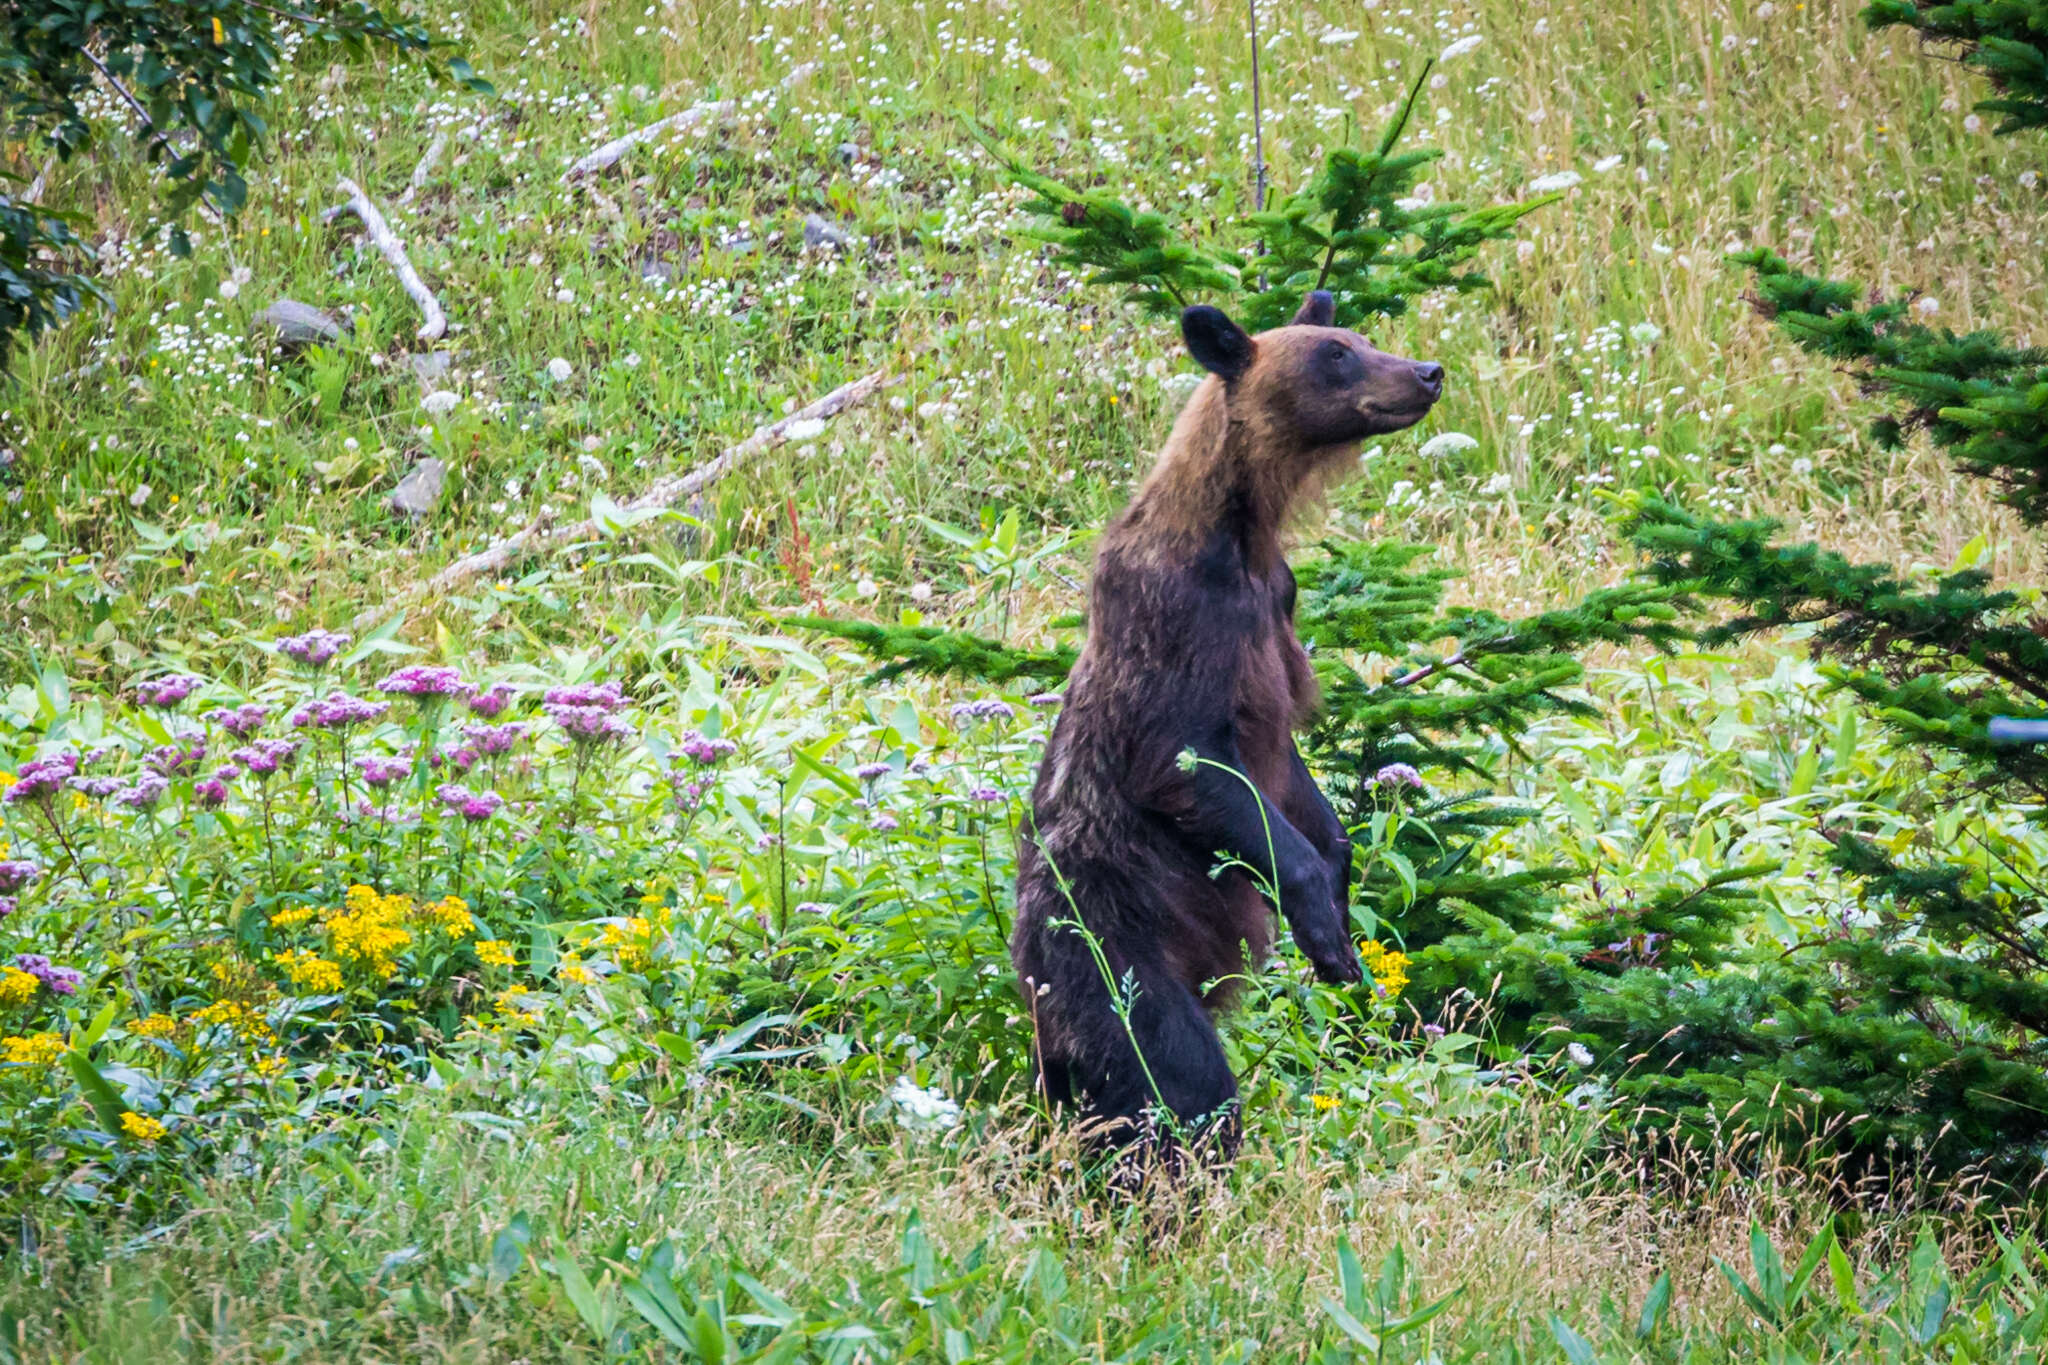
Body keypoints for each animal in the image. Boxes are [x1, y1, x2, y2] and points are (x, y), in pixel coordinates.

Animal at [1007, 294, 1441, 1170]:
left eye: (1356, 337)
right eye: (1335, 354)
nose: (1426, 371)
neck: (1242, 530)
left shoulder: (1278, 609)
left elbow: (1299, 787)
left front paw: (1339, 889)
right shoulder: (1178, 623)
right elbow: (1185, 763)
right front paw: (1322, 925)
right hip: (1108, 947)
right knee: (1172, 1076)